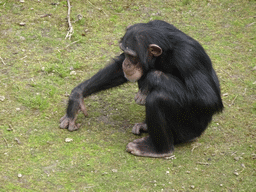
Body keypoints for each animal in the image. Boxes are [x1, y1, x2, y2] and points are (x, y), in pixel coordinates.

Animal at [59, 19, 223, 158]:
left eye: (132, 56)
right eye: (124, 53)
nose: (127, 63)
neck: (164, 52)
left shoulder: (189, 57)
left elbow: (207, 98)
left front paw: (150, 77)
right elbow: (118, 68)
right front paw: (76, 97)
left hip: (190, 129)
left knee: (158, 99)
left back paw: (159, 149)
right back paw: (145, 126)